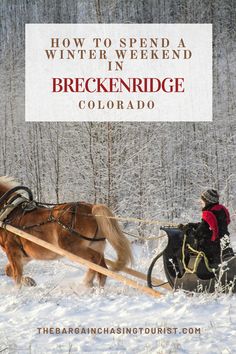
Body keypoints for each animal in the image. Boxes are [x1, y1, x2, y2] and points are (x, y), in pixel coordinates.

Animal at [0, 176, 133, 288]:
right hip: (96, 245)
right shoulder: (26, 255)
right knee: (102, 269)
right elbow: (9, 271)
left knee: (94, 260)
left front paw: (18, 291)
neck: (9, 213)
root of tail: (91, 208)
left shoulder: (12, 251)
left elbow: (16, 276)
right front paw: (29, 281)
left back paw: (86, 283)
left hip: (72, 249)